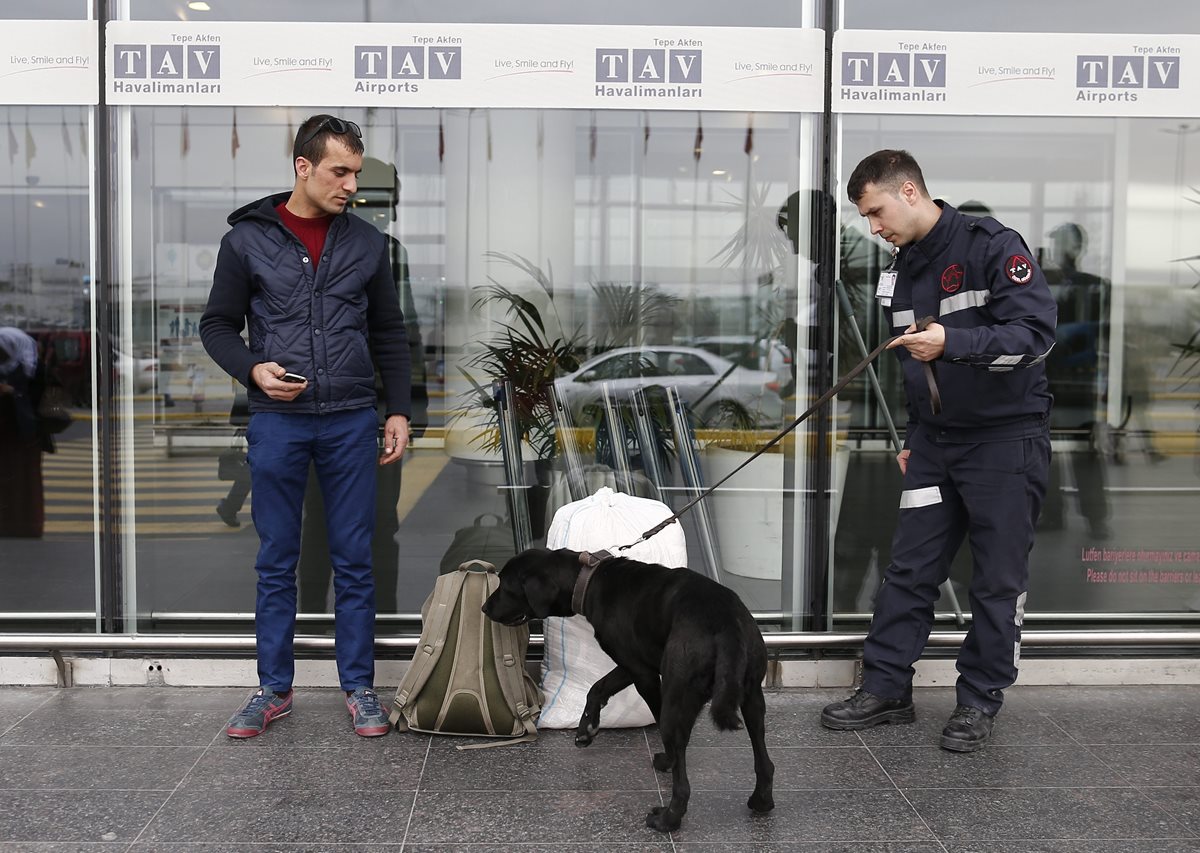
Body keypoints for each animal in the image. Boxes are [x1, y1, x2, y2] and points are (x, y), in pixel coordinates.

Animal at [482, 547, 772, 835]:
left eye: (504, 586)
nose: (484, 608)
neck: (590, 578)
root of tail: (725, 624)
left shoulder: (643, 674)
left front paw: (666, 761)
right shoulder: (634, 665)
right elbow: (596, 688)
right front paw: (586, 729)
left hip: (676, 703)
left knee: (683, 784)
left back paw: (667, 819)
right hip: (753, 700)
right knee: (765, 762)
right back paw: (762, 800)